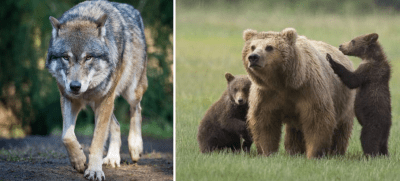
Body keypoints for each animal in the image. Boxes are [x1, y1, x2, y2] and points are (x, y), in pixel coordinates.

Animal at [45, 0, 148, 180]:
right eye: (65, 57)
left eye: (88, 57)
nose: (75, 86)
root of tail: (132, 9)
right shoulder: (68, 98)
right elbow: (66, 136)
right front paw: (79, 160)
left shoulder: (105, 99)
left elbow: (97, 141)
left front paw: (94, 170)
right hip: (97, 103)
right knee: (117, 124)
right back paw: (113, 158)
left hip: (129, 92)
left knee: (136, 109)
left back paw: (135, 147)